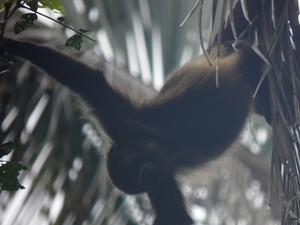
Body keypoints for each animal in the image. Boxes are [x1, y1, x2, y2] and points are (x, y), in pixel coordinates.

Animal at [0, 37, 268, 225]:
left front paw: (17, 46)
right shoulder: (162, 181)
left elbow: (91, 83)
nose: (145, 178)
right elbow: (176, 216)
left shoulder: (123, 124)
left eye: (135, 170)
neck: (161, 150)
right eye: (137, 185)